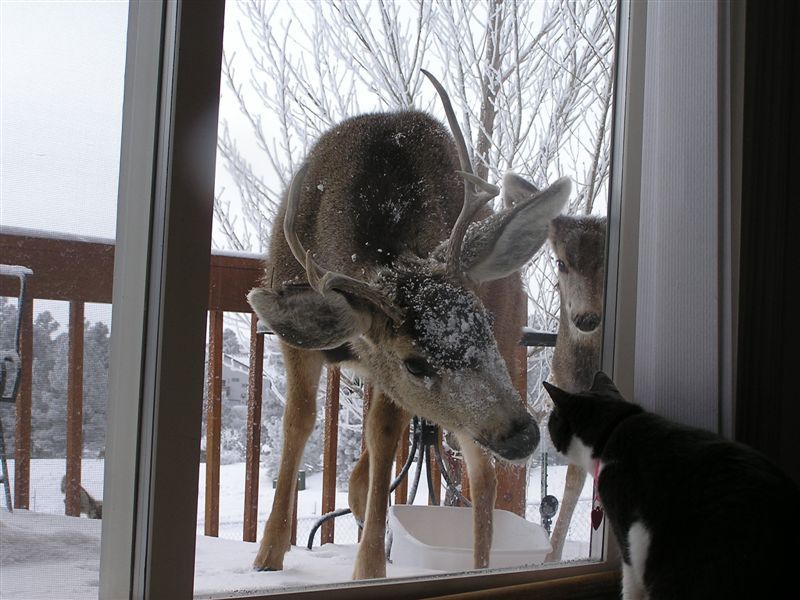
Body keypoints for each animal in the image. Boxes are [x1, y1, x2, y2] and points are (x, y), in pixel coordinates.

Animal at [247, 71, 572, 580]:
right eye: (415, 363)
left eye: (481, 323)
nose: (522, 433)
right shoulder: (303, 342)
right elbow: (299, 421)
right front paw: (268, 554)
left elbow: (382, 435)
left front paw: (368, 568)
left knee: (480, 475)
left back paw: (476, 568)